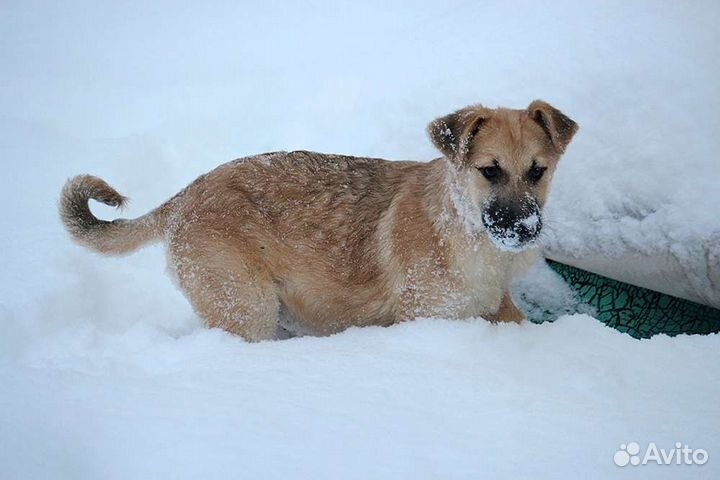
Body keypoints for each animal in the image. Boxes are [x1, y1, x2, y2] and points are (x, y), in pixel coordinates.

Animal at [62, 100, 580, 342]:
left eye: (538, 171)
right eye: (489, 170)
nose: (525, 230)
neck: (463, 229)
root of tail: (186, 195)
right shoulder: (426, 319)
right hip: (245, 307)